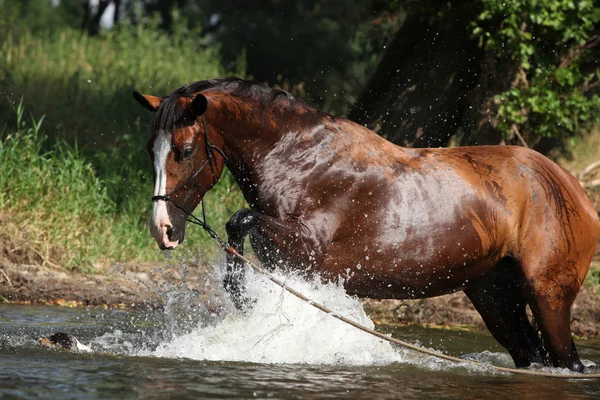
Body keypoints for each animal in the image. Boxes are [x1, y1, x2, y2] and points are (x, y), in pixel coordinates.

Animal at [134, 77, 596, 372]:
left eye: (185, 150)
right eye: (151, 147)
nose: (163, 229)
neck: (300, 162)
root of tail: (576, 191)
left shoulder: (307, 250)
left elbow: (237, 220)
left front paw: (243, 297)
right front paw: (242, 295)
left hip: (548, 296)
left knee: (568, 362)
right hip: (495, 298)